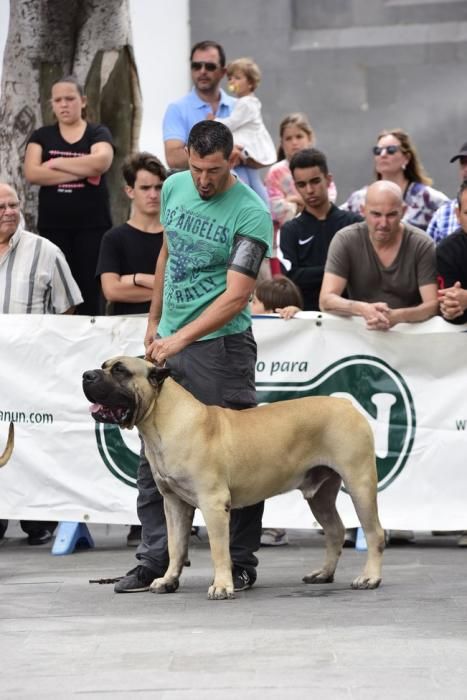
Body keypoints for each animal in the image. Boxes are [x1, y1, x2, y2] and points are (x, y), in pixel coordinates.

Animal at [82, 358, 386, 600]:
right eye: (103, 365)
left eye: (120, 370)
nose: (87, 374)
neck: (163, 419)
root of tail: (347, 404)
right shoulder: (174, 504)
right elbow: (175, 545)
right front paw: (168, 580)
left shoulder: (213, 503)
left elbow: (219, 549)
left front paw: (222, 586)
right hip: (320, 494)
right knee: (335, 531)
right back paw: (323, 574)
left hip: (359, 483)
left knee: (374, 533)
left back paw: (369, 578)